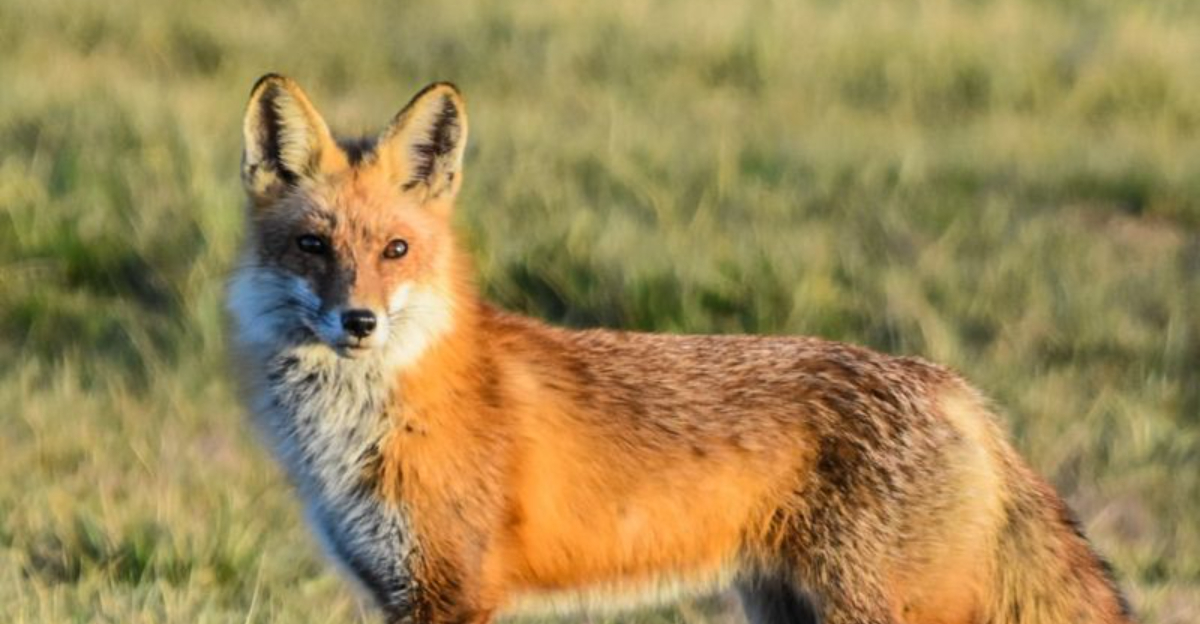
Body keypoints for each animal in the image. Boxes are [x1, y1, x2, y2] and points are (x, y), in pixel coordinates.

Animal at [227, 74, 1135, 624]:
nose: (359, 322)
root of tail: (957, 390)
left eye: (396, 251)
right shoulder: (394, 588)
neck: (360, 429)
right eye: (312, 246)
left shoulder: (454, 590)